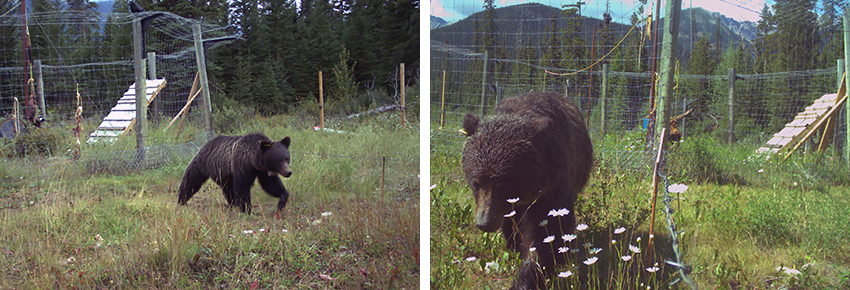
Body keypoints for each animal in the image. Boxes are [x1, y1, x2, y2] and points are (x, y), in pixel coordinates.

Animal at [460, 92, 592, 288]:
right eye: (476, 183)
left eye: (501, 184)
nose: (484, 223)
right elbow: (513, 228)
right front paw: (516, 250)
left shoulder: (551, 190)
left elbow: (546, 235)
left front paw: (526, 275)